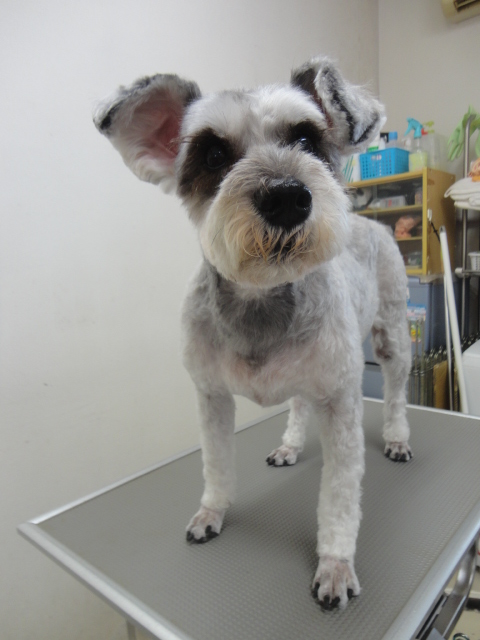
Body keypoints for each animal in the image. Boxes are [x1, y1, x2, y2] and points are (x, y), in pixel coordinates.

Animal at [94, 56, 412, 611]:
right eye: (213, 154)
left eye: (306, 138)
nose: (287, 198)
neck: (261, 298)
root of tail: (370, 221)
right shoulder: (211, 395)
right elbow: (216, 463)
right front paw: (211, 513)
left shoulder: (341, 402)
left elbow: (340, 494)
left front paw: (334, 564)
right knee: (299, 402)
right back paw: (289, 444)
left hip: (391, 336)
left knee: (394, 390)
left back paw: (396, 437)